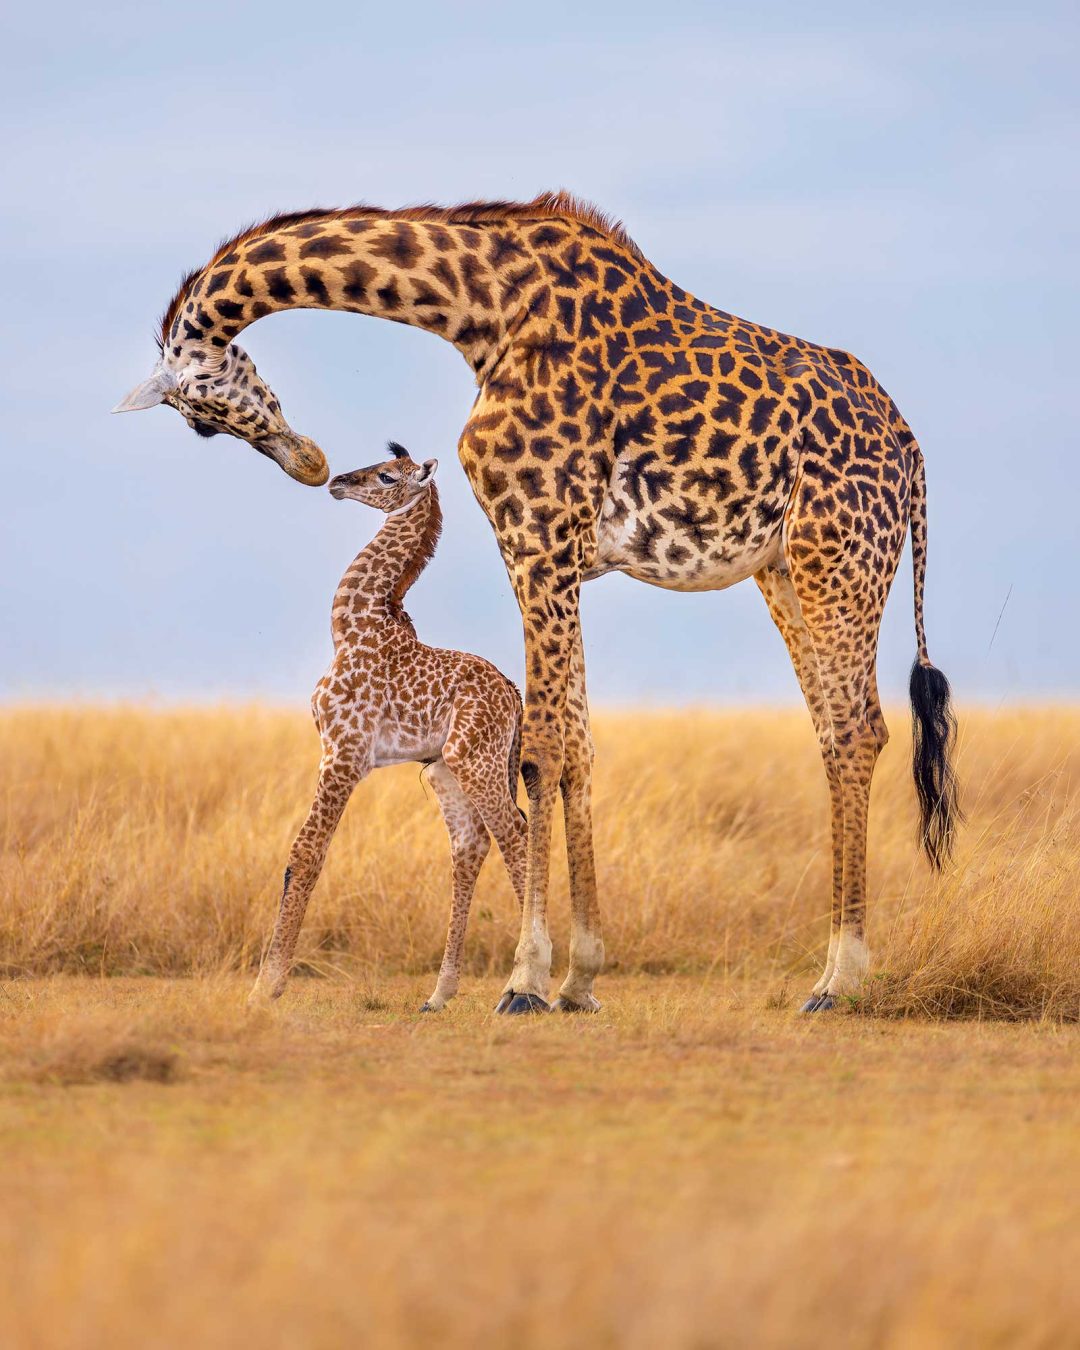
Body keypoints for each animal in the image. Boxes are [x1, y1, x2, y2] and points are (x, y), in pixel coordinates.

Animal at [249, 442, 527, 1011]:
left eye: (386, 475)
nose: (337, 482)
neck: (352, 628)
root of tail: (512, 693)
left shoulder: (343, 751)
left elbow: (306, 852)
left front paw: (267, 986)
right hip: (446, 769)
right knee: (471, 846)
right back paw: (439, 995)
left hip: (476, 759)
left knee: (515, 832)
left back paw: (523, 986)